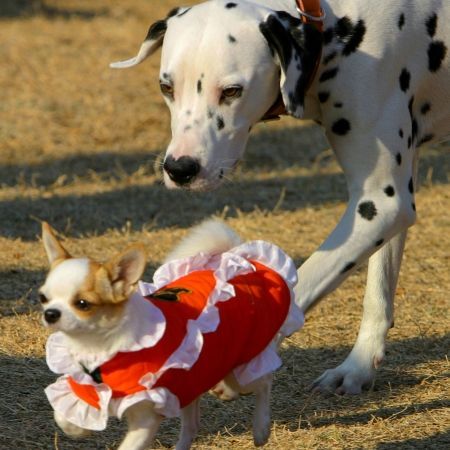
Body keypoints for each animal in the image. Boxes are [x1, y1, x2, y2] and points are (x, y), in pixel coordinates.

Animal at [40, 220, 304, 448]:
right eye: (43, 297)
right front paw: (79, 429)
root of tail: (240, 259)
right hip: (194, 379)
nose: (50, 313)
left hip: (244, 366)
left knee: (264, 382)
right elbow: (63, 417)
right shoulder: (84, 390)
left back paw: (261, 428)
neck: (102, 350)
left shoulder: (145, 418)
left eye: (83, 304)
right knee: (193, 424)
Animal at [110, 0, 450, 394]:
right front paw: (359, 367)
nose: (180, 169)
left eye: (232, 91)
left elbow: (295, 290)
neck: (336, 27)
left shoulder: (380, 204)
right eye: (166, 87)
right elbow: (379, 288)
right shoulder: (391, 194)